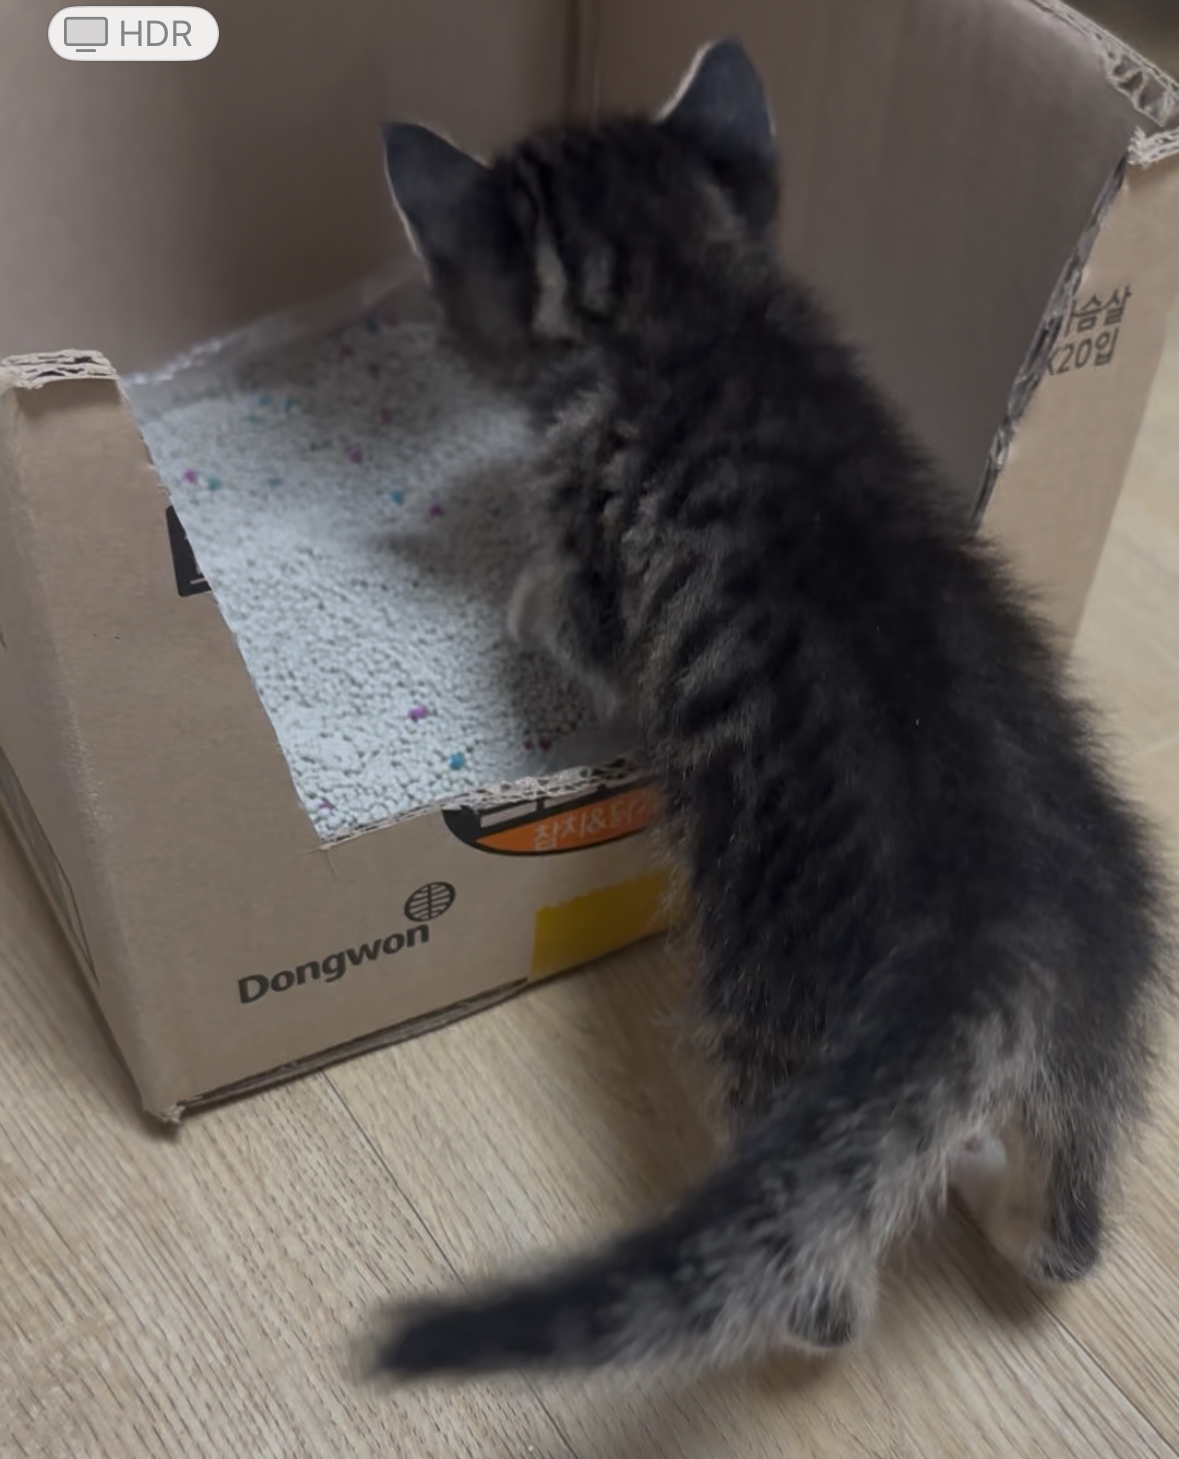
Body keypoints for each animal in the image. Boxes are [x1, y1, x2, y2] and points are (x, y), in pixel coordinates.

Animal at [367, 38, 1173, 1379]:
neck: (689, 301)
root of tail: (1001, 934)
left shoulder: (602, 559)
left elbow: (569, 617)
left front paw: (520, 598)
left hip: (772, 1022)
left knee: (816, 1287)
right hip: (1105, 1025)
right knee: (1064, 1228)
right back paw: (1001, 1184)